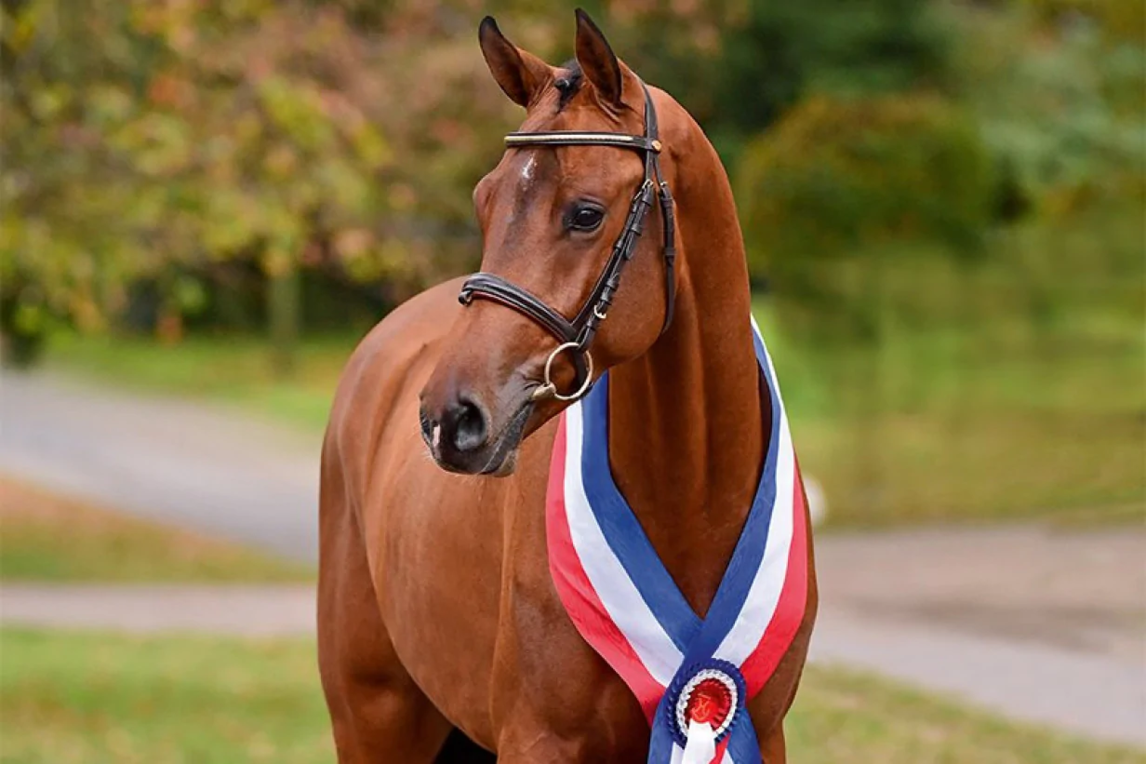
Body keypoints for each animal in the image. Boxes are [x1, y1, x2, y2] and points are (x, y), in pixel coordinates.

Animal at [314, 11, 815, 764]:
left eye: (585, 213)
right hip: (374, 719)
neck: (692, 505)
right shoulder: (538, 739)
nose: (449, 418)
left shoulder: (763, 734)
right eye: (484, 200)